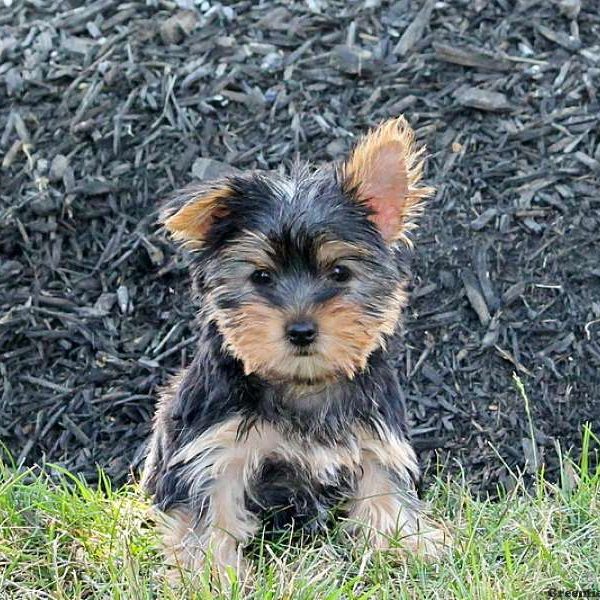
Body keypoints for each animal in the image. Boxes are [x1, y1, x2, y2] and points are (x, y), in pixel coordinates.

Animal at [142, 117, 450, 580]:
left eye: (339, 272)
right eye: (261, 277)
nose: (301, 330)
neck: (303, 383)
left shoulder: (374, 437)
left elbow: (383, 491)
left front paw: (407, 545)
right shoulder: (213, 449)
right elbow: (210, 511)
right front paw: (213, 574)